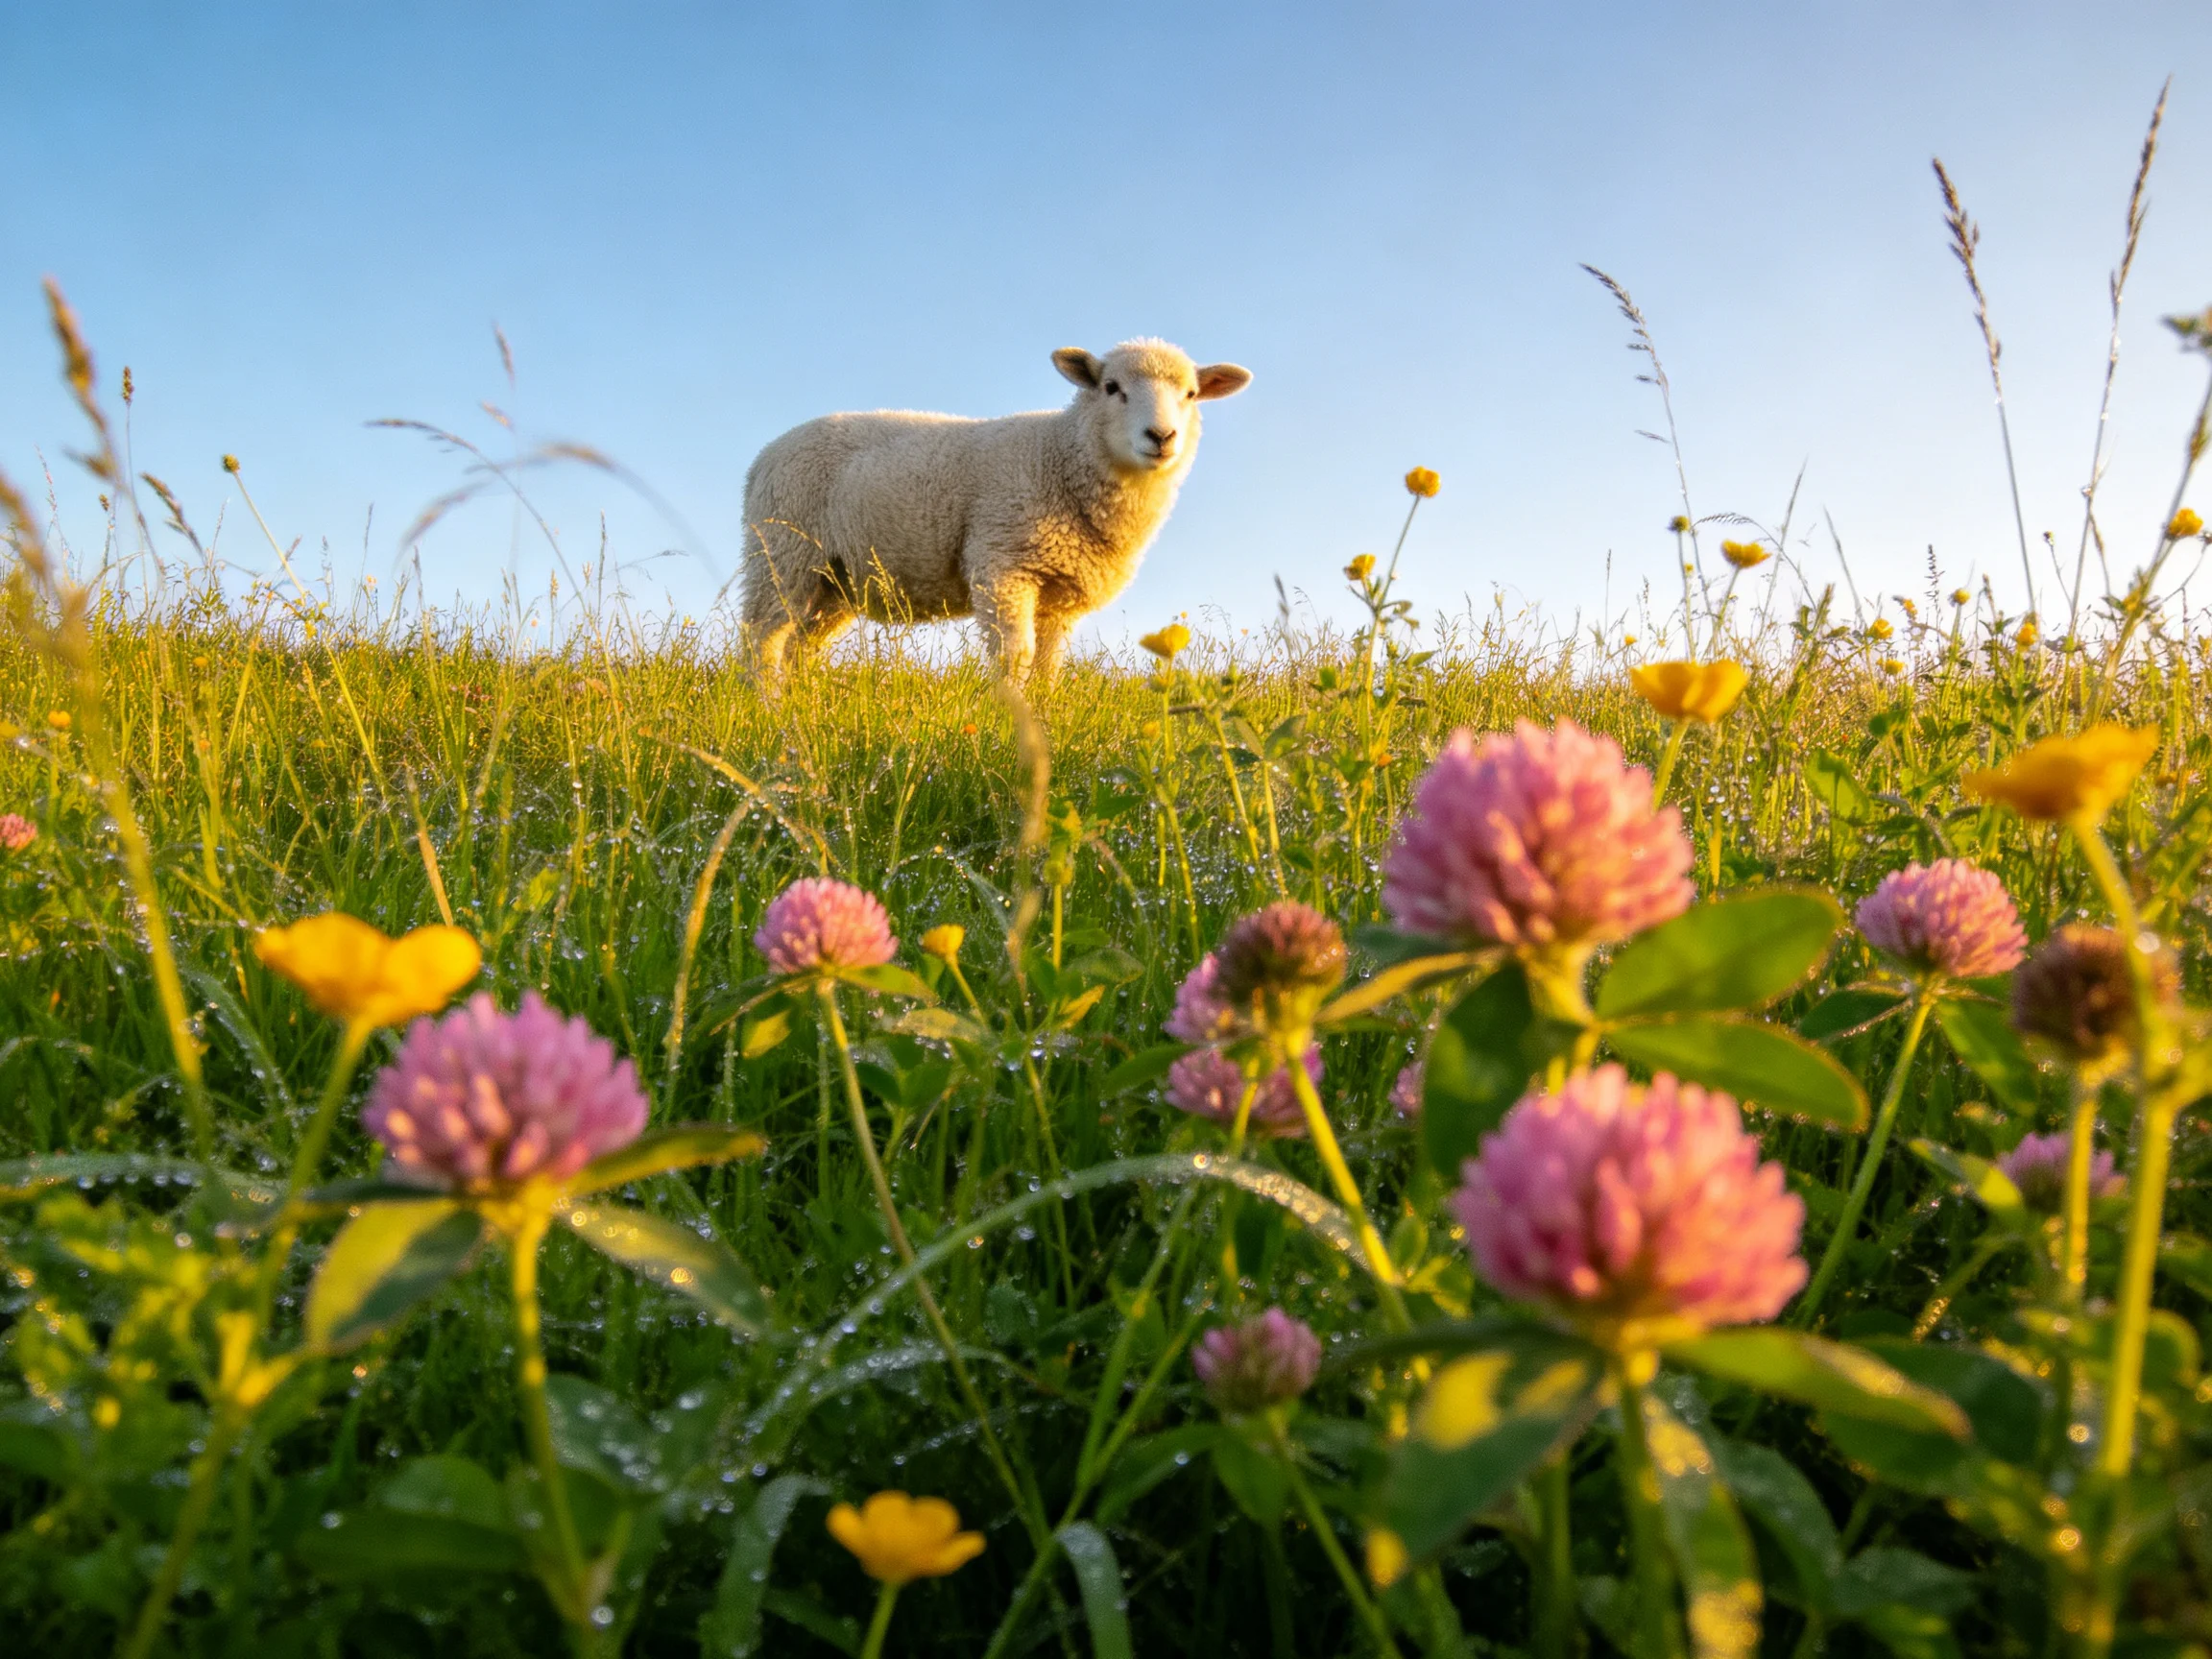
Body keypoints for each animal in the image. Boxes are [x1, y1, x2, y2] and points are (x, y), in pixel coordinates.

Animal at [738, 338, 1250, 684]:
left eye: (1191, 395)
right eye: (1111, 387)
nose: (1161, 437)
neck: (1061, 455)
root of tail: (761, 458)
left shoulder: (1060, 594)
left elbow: (1047, 666)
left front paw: (1043, 718)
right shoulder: (1004, 566)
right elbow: (1015, 657)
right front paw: (1014, 721)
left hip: (834, 582)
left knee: (799, 645)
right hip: (781, 551)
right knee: (761, 640)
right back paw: (769, 708)